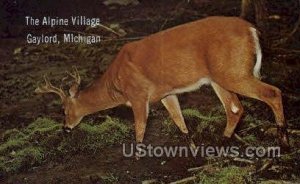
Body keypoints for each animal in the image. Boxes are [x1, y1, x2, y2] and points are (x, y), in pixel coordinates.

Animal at [35, 16, 290, 150]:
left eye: (63, 109)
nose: (65, 127)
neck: (116, 84)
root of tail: (252, 29)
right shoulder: (166, 93)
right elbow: (179, 120)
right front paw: (191, 146)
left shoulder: (138, 94)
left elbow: (140, 127)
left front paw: (137, 154)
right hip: (221, 76)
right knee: (236, 108)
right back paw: (221, 140)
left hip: (233, 72)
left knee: (273, 92)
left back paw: (284, 139)